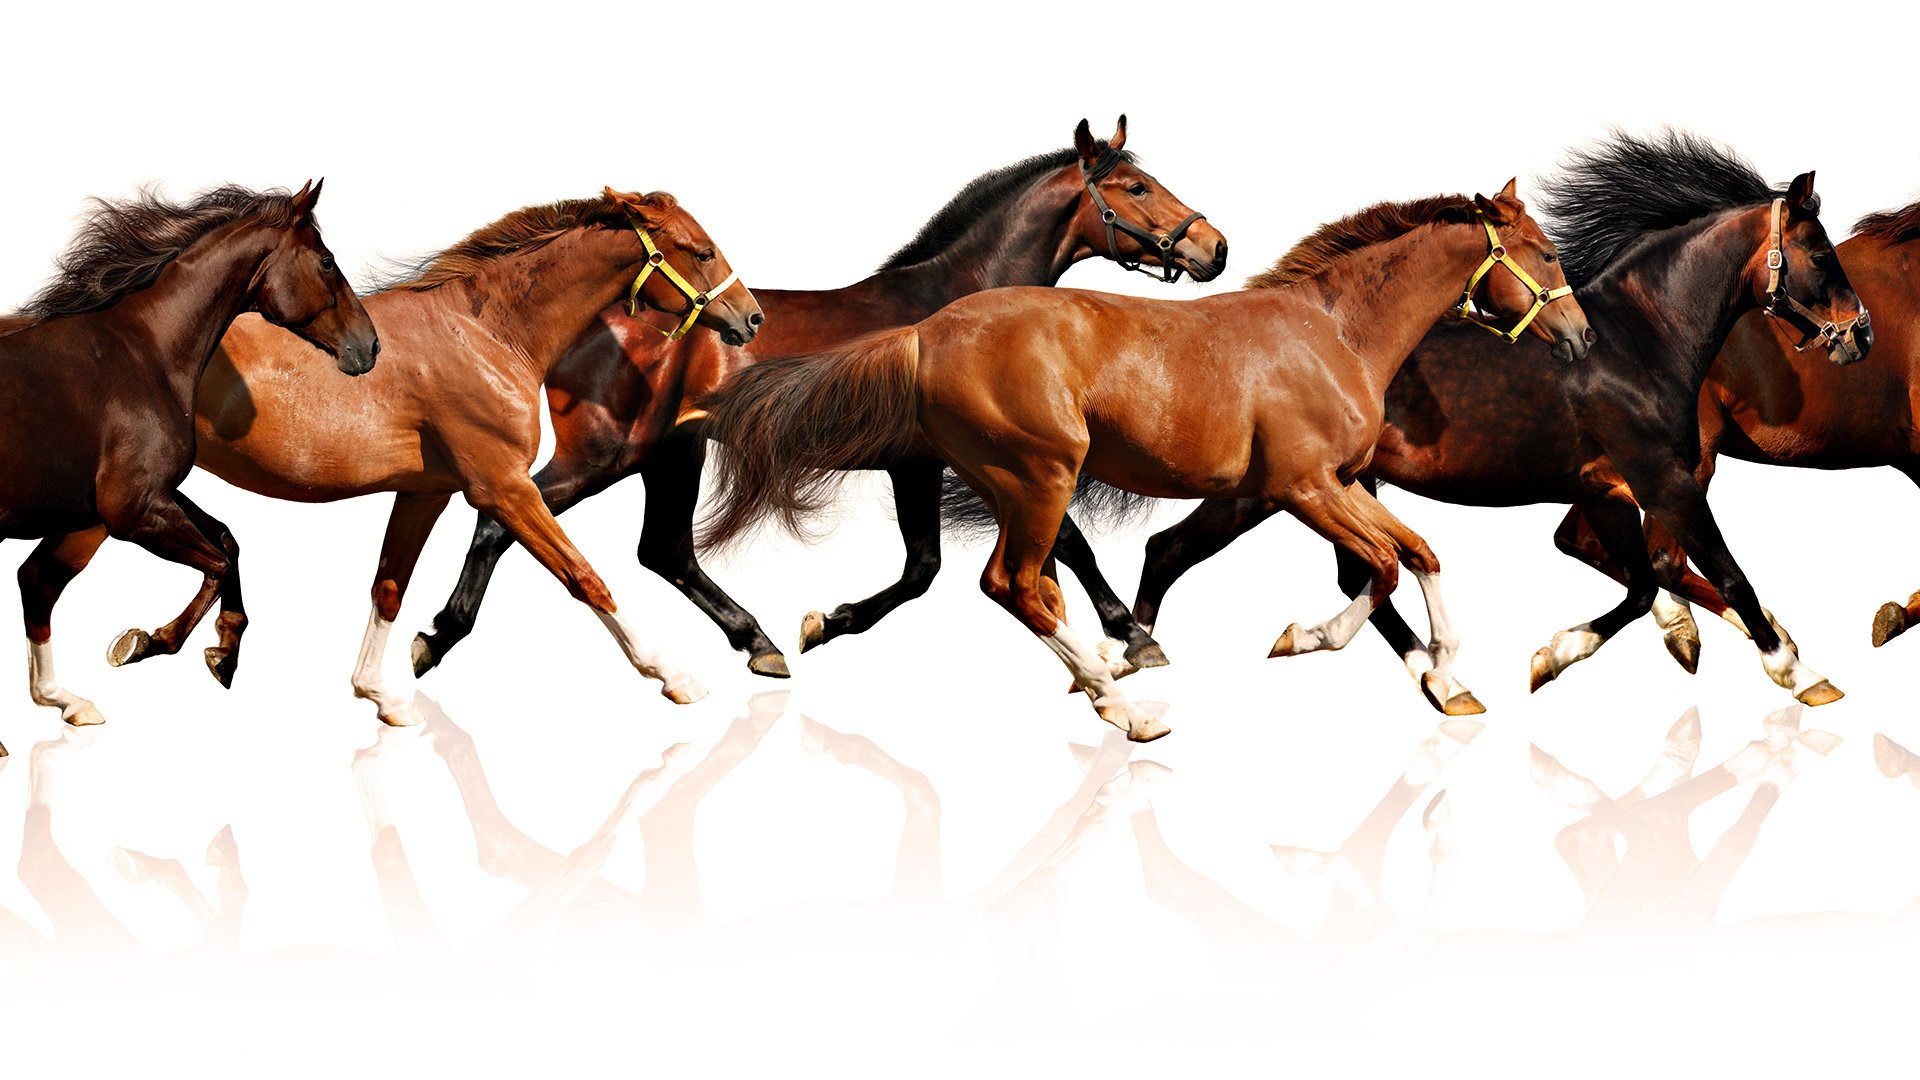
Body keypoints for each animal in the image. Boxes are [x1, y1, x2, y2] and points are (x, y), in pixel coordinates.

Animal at [0, 181, 378, 755]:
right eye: (327, 261)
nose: (370, 346)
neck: (142, 353)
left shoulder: (133, 504)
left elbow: (227, 541)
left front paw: (224, 652)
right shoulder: (133, 513)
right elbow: (216, 564)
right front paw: (144, 643)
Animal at [134, 187, 755, 727]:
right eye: (702, 250)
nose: (752, 318)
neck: (487, 335)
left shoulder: (425, 492)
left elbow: (388, 587)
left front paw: (381, 695)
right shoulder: (504, 487)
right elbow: (586, 578)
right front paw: (676, 677)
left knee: (221, 545)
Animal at [408, 117, 1226, 682]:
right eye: (1135, 188)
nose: (1213, 247)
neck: (956, 305)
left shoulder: (930, 466)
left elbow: (934, 565)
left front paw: (822, 624)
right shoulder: (962, 464)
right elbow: (1044, 548)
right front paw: (1134, 637)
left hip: (671, 453)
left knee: (662, 549)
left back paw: (760, 644)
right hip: (610, 453)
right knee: (505, 521)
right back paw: (433, 639)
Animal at [700, 179, 1589, 739]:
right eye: (1546, 254)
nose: (1579, 337)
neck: (1334, 333)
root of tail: (924, 332)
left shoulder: (1338, 484)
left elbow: (1420, 553)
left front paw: (1450, 682)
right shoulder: (1301, 487)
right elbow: (1381, 569)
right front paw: (1300, 639)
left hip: (1010, 483)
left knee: (1029, 585)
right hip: (1039, 477)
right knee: (1013, 584)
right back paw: (1125, 709)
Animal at [1119, 132, 1869, 707]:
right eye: (1822, 254)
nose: (1860, 334)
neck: (1640, 342)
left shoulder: (1609, 494)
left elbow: (1642, 585)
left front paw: (1553, 656)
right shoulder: (1664, 482)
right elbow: (1727, 575)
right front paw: (1800, 672)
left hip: (1340, 486)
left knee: (1353, 572)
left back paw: (1439, 682)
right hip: (1269, 491)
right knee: (1170, 550)